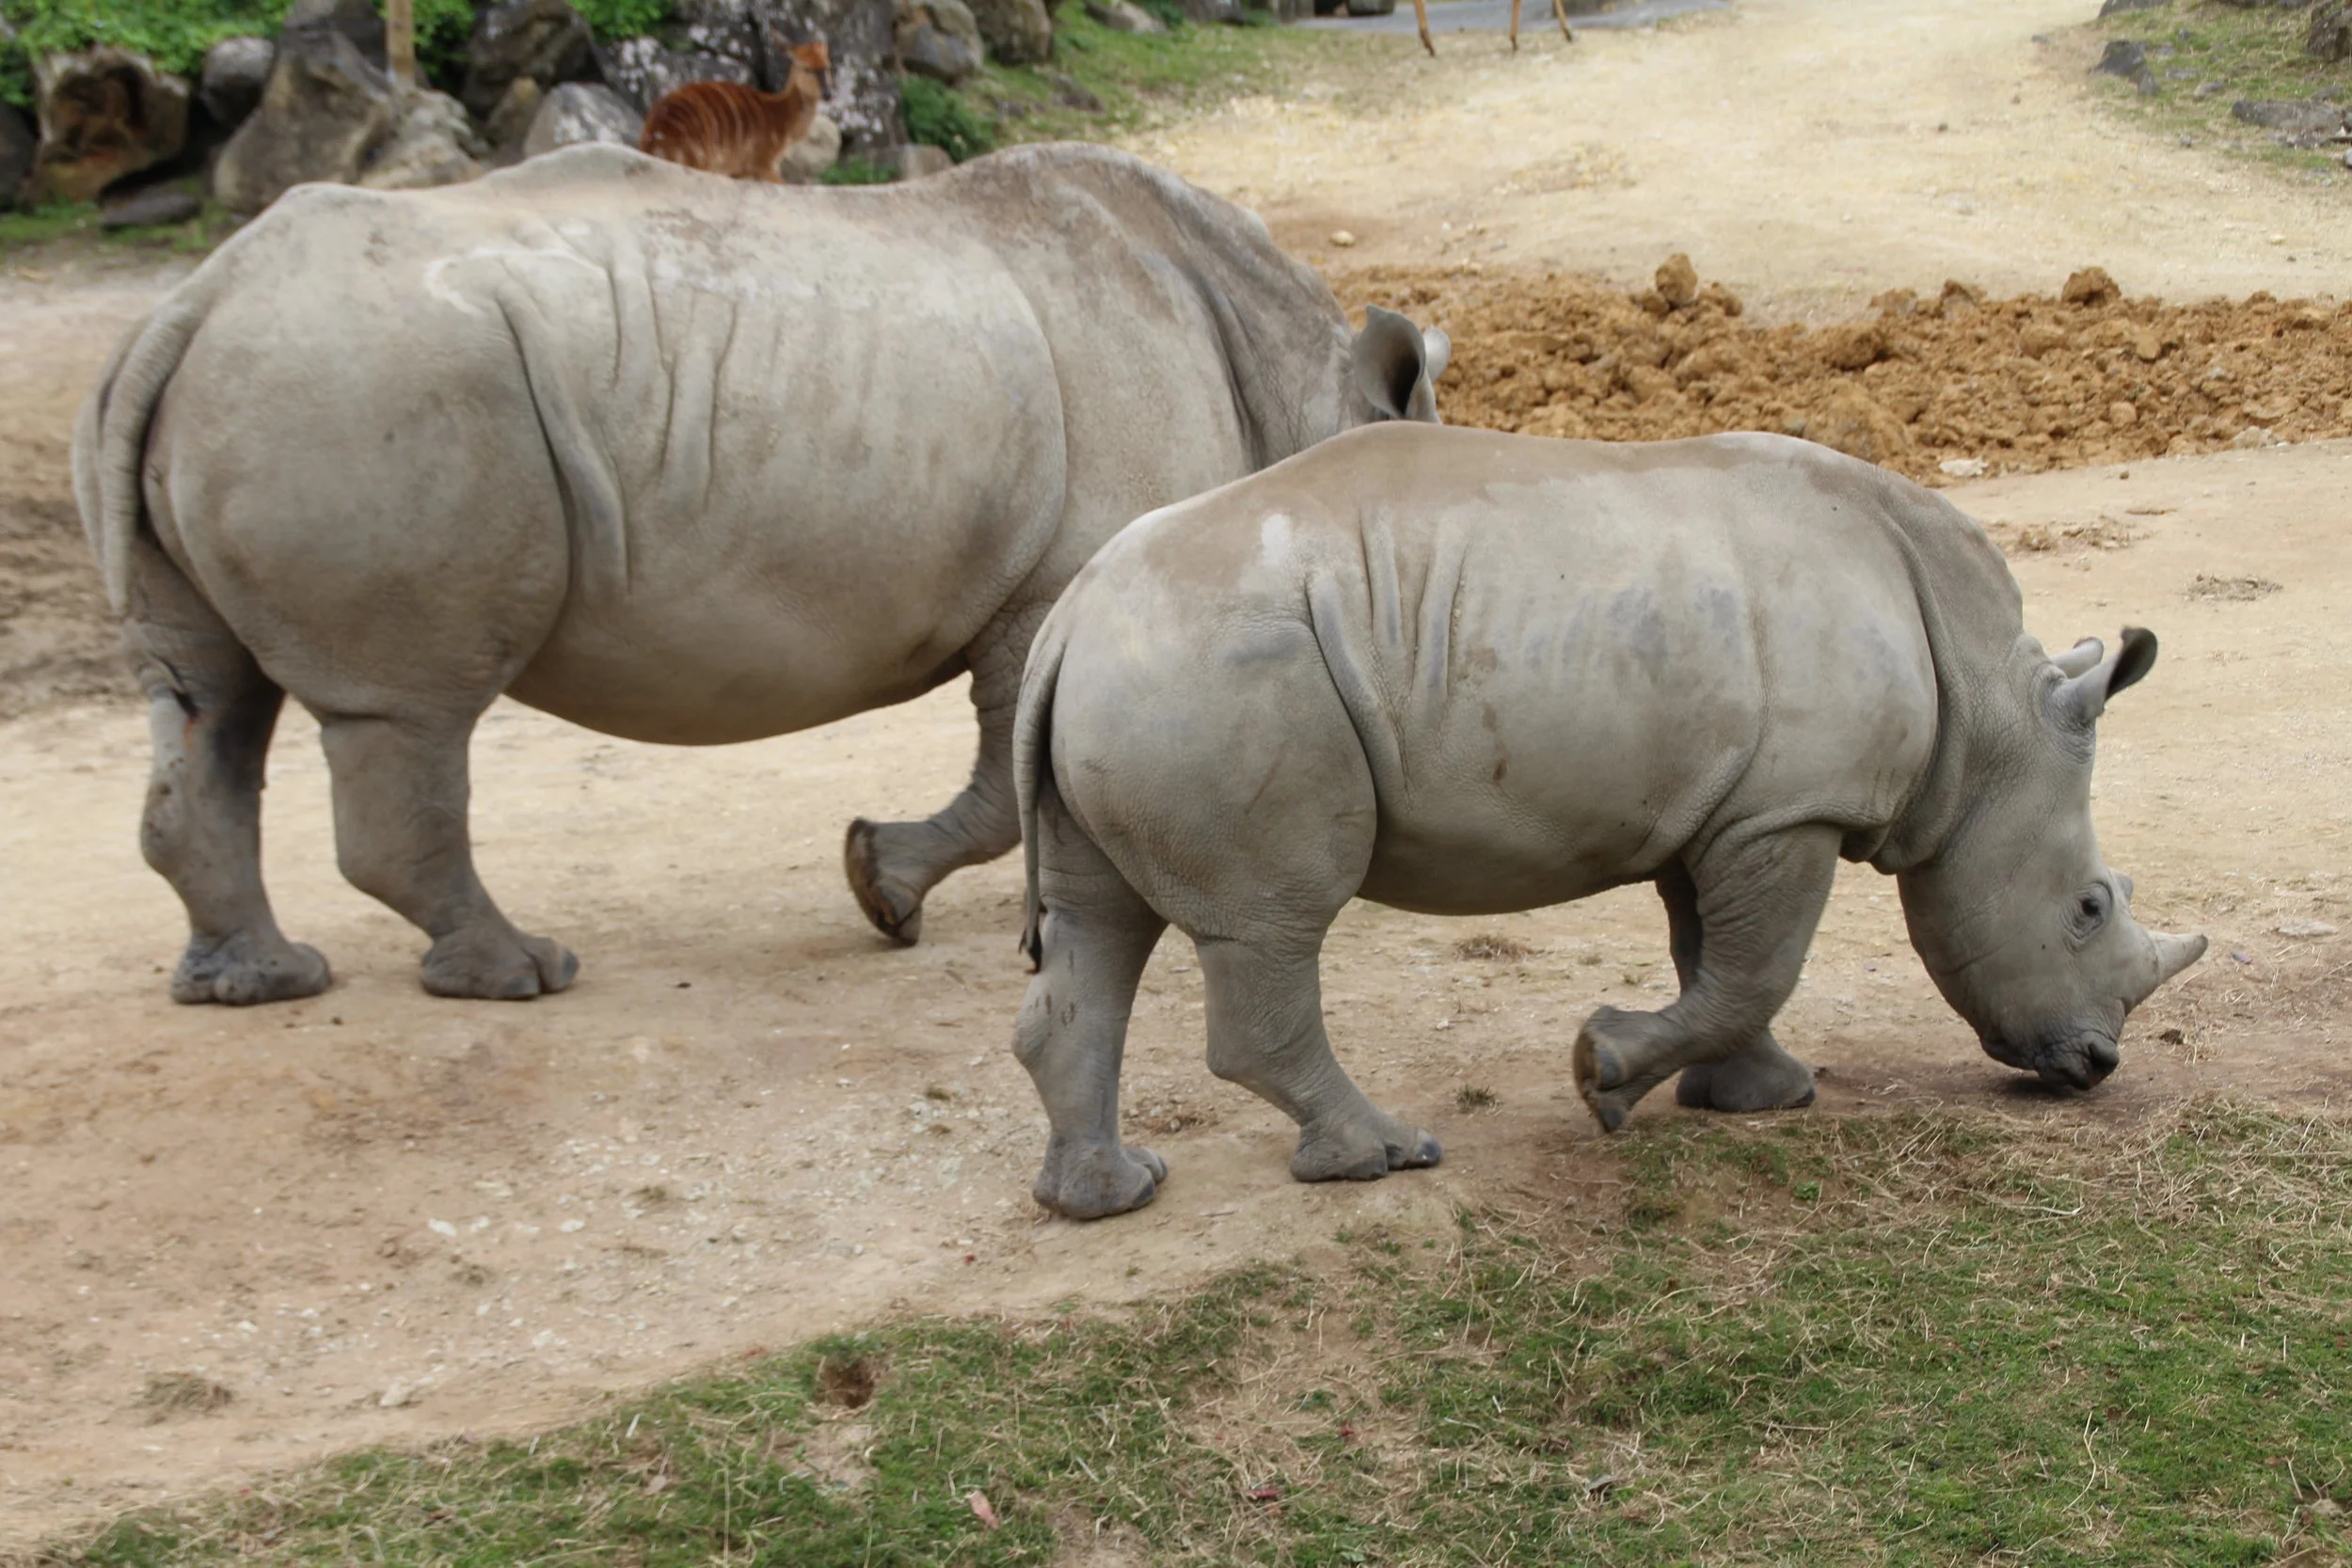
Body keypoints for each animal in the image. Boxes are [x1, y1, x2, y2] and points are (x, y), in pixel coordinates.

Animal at [73, 142, 1447, 1004]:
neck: (1294, 379)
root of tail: (194, 298)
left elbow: (1009, 777)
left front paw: (895, 893)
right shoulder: (1060, 589)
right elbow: (1011, 785)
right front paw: (895, 896)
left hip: (275, 380)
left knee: (214, 698)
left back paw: (257, 983)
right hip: (365, 386)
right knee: (408, 708)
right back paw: (521, 975)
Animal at [1009, 424, 2207, 1219]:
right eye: (2089, 905)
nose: (2096, 1064)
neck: (1986, 712)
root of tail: (1070, 617)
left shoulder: (1727, 807)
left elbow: (1712, 958)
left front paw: (1759, 1096)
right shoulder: (1790, 806)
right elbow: (1755, 967)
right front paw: (1604, 1075)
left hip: (1139, 675)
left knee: (1100, 923)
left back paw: (1107, 1196)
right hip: (1218, 671)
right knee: (1272, 922)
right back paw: (1385, 1155)